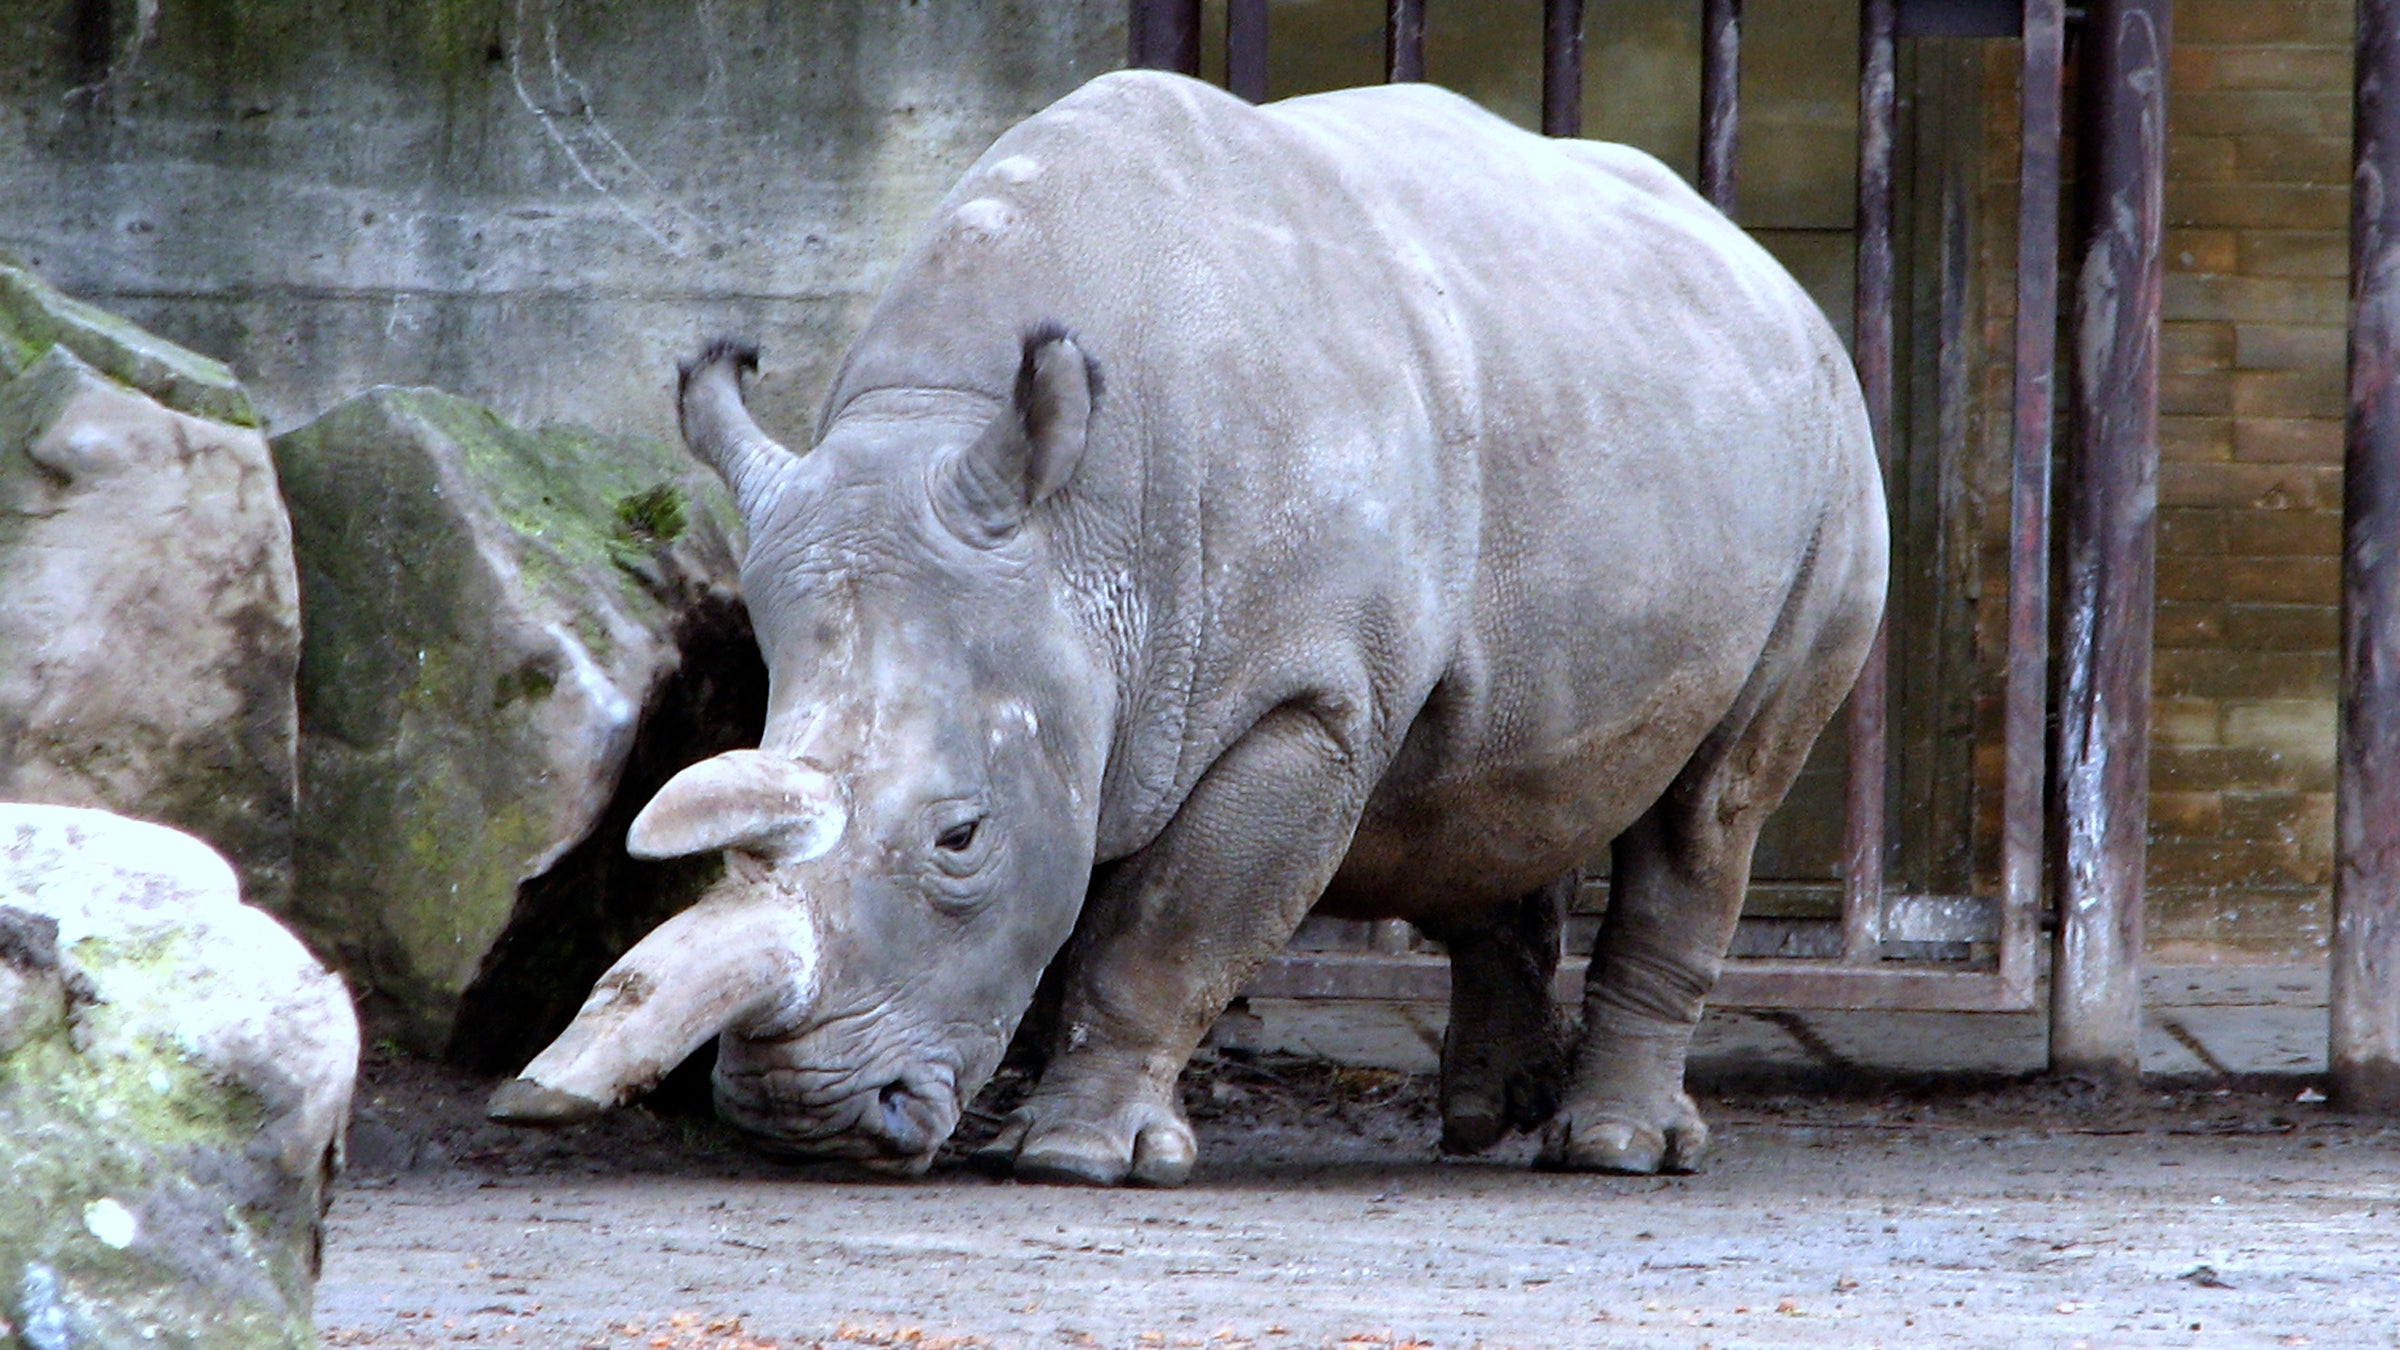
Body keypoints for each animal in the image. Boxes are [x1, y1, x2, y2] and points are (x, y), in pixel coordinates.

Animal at [488, 69, 1885, 1186]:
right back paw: (1484, 1123)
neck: (1071, 531)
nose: (804, 1124)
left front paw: (1074, 1156)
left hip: (1832, 448)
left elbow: (1165, 929)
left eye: (959, 839)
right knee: (1483, 789)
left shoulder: (1307, 699)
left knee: (1714, 804)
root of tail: (1761, 263)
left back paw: (1614, 1149)